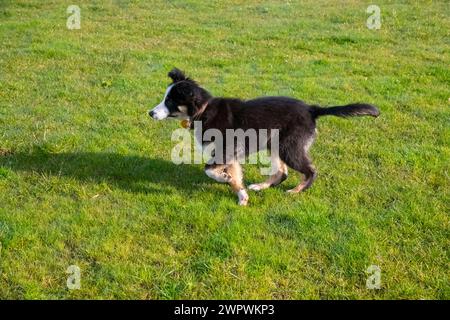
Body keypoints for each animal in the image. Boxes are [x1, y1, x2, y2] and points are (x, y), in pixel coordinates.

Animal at [150, 69, 380, 206]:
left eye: (170, 101)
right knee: (282, 173)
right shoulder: (230, 156)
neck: (204, 110)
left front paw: (225, 179)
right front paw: (242, 195)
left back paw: (296, 191)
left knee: (310, 170)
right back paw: (260, 187)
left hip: (289, 147)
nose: (150, 113)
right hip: (275, 145)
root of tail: (312, 110)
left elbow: (209, 170)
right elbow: (235, 177)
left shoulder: (226, 150)